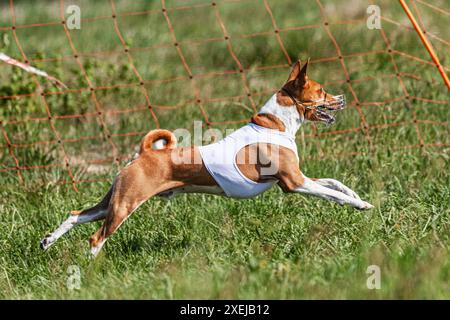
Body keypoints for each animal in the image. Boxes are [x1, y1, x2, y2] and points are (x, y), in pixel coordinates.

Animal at [41, 58, 372, 256]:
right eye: (322, 90)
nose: (342, 98)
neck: (276, 125)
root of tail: (144, 154)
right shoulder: (293, 182)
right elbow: (330, 193)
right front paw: (359, 204)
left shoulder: (296, 177)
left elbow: (333, 182)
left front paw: (357, 195)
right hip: (126, 204)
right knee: (96, 238)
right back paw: (92, 268)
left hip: (114, 201)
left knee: (77, 215)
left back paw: (48, 241)